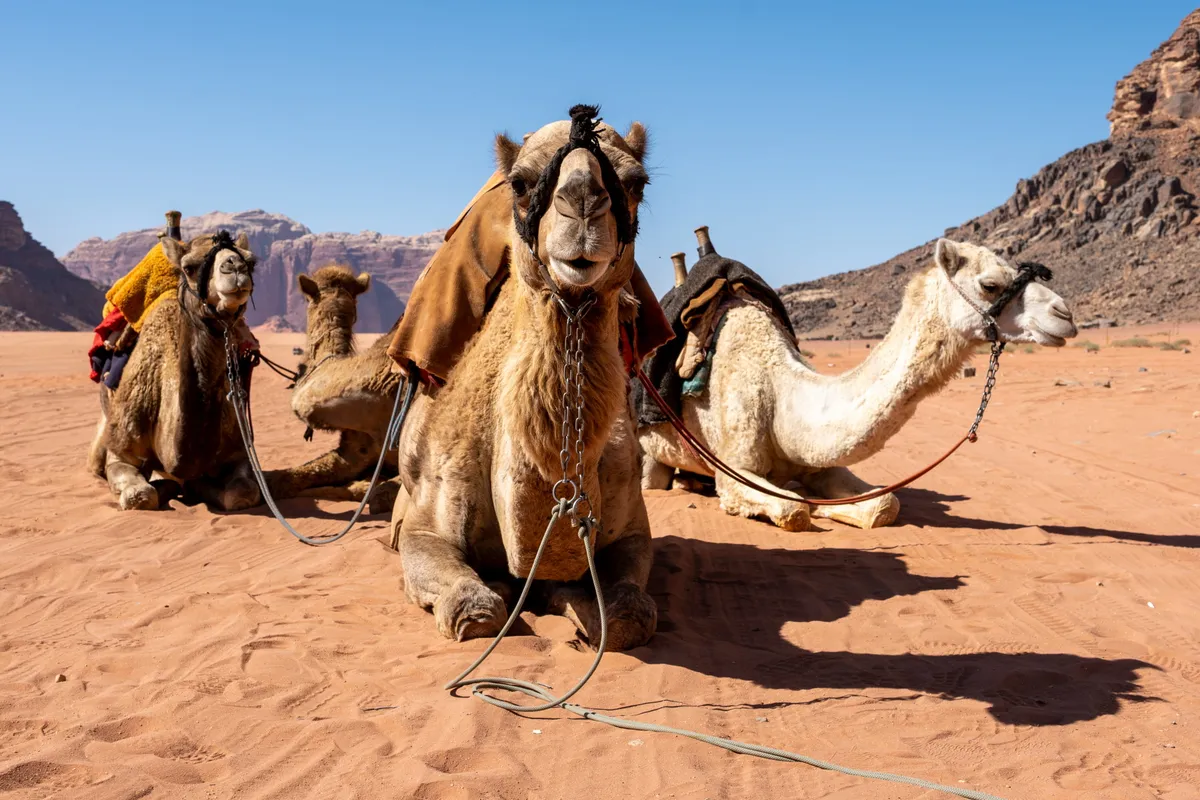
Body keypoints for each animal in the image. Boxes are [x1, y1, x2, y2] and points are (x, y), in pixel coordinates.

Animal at [88, 232, 262, 511]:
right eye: (189, 267)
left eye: (251, 262)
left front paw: (198, 486)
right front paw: (167, 486)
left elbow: (243, 493)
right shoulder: (121, 450)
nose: (235, 267)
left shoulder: (239, 450)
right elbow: (141, 496)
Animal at [391, 107, 657, 650]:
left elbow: (627, 614)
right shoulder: (424, 528)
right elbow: (474, 610)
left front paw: (574, 603)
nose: (582, 204)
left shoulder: (634, 528)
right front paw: (500, 591)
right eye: (519, 183)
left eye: (637, 182)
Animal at [639, 235, 1078, 531]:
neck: (781, 390)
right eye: (990, 285)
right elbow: (793, 509)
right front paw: (810, 505)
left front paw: (831, 505)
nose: (1065, 314)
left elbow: (884, 505)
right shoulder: (732, 469)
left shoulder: (818, 463)